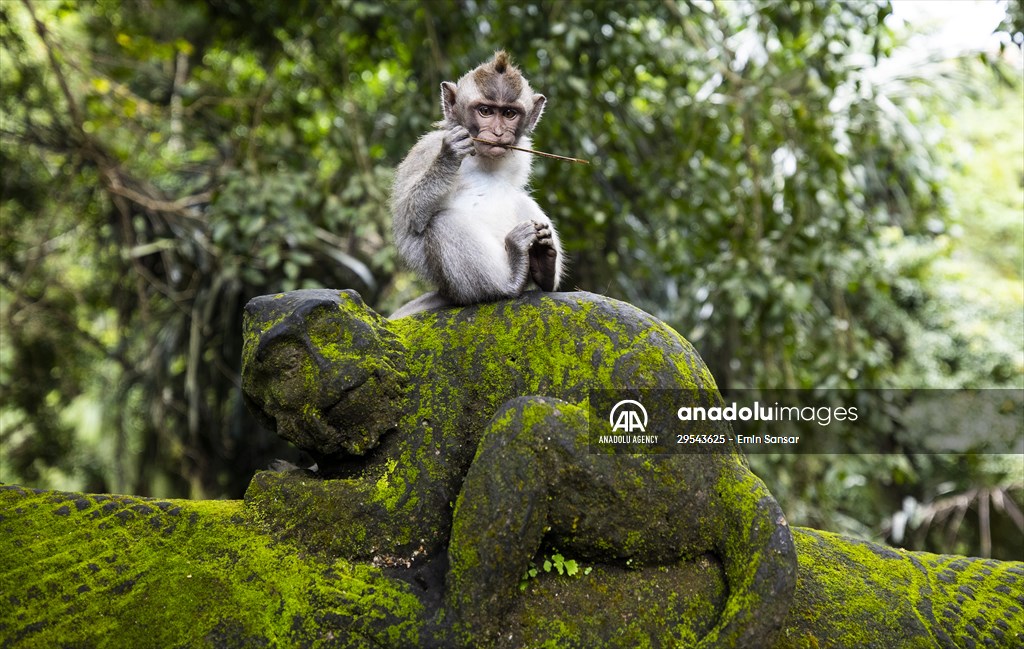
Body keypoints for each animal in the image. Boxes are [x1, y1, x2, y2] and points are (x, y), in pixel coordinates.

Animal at [390, 51, 563, 318]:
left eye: (509, 114)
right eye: (485, 111)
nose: (499, 132)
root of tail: (446, 292)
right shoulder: (426, 150)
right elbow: (411, 219)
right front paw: (449, 155)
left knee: (520, 199)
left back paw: (543, 264)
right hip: (459, 288)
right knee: (442, 222)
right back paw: (511, 277)